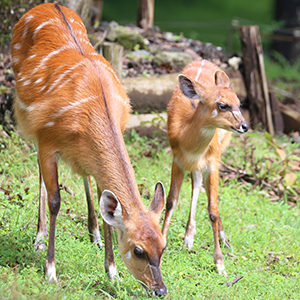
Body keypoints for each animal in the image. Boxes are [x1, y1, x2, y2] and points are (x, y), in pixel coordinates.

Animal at [10, 2, 168, 296]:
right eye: (138, 250)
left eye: (163, 246)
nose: (160, 290)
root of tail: (46, 5)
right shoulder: (46, 139)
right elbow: (55, 201)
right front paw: (50, 271)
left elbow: (106, 205)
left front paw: (113, 272)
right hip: (26, 119)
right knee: (40, 174)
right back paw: (39, 237)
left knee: (87, 178)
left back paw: (93, 233)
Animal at [162, 58, 248, 276]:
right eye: (223, 105)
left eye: (239, 103)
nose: (245, 126)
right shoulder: (177, 159)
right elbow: (171, 200)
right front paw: (162, 242)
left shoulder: (213, 163)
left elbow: (213, 210)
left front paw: (220, 264)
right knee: (196, 183)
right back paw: (188, 239)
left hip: (218, 156)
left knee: (208, 195)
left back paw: (222, 240)